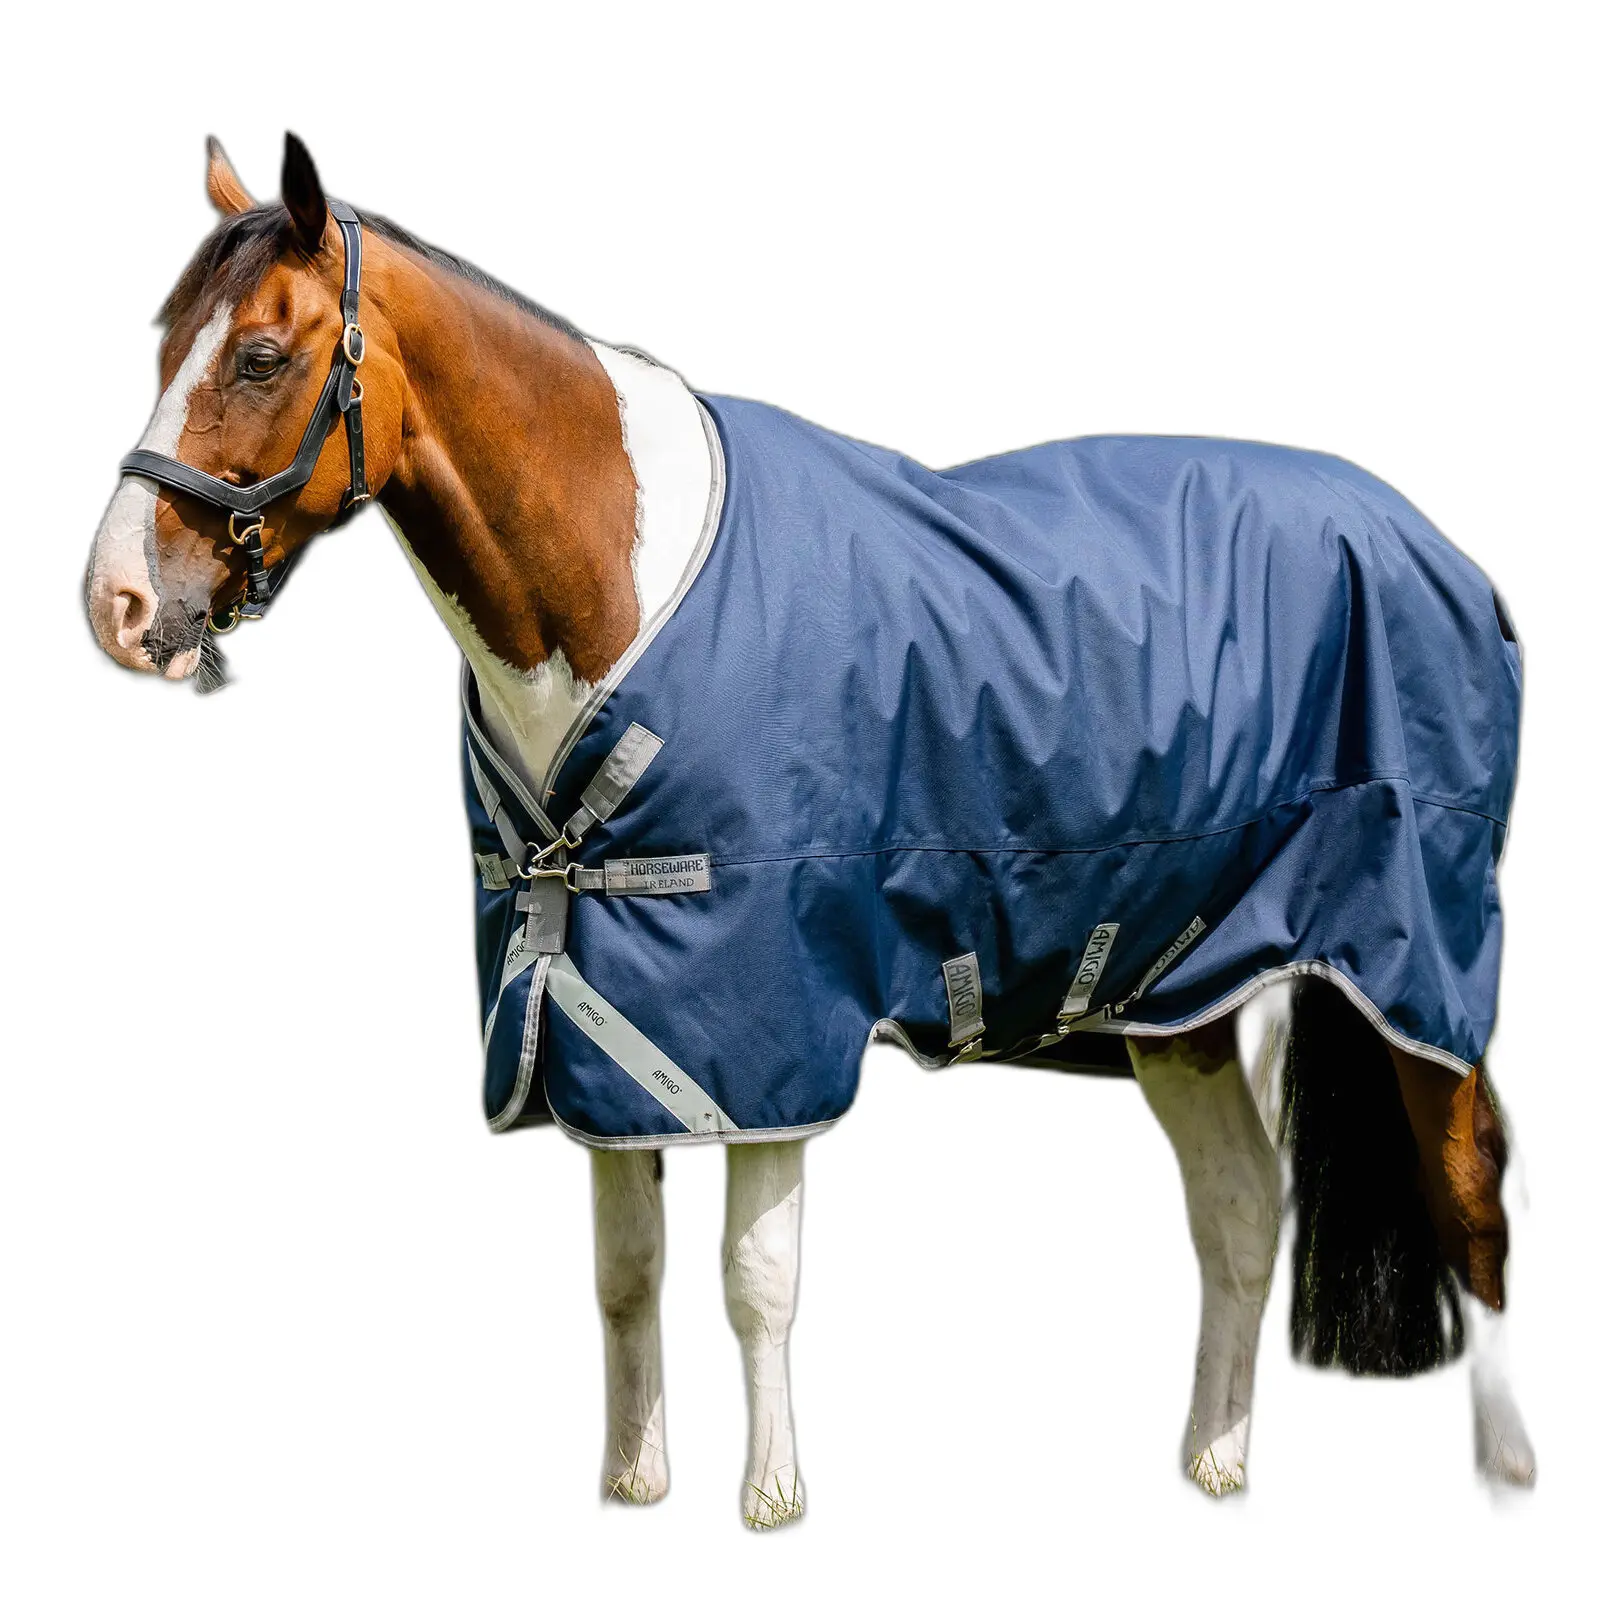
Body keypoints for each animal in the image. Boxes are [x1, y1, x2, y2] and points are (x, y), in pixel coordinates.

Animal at [83, 133, 1536, 1525]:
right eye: (162, 345)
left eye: (260, 355)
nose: (116, 603)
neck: (618, 582)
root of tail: (1441, 552)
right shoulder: (601, 1027)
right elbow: (626, 1273)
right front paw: (634, 1482)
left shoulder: (768, 1026)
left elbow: (755, 1277)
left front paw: (771, 1499)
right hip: (1175, 992)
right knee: (1240, 1214)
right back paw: (1215, 1461)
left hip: (1414, 969)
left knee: (1471, 1197)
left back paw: (1507, 1466)